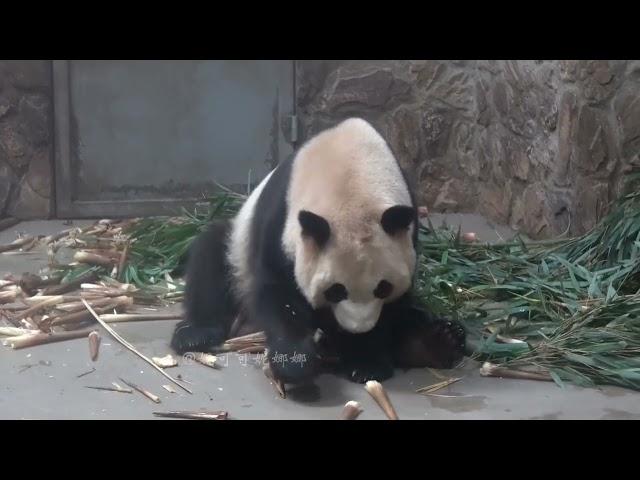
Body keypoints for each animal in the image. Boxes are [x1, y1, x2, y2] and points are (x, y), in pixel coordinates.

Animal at [171, 118, 464, 384]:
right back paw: (194, 335)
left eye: (383, 287)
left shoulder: (406, 238)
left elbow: (394, 307)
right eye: (336, 290)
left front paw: (366, 362)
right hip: (236, 252)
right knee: (212, 257)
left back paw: (438, 341)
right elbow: (277, 291)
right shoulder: (280, 222)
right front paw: (295, 362)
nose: (356, 329)